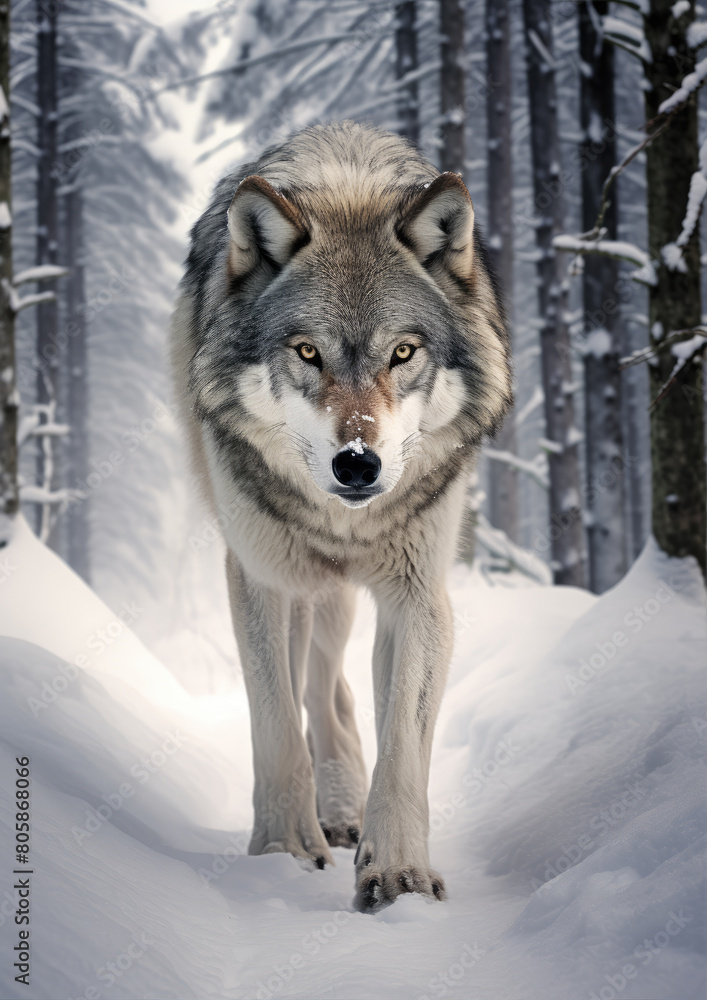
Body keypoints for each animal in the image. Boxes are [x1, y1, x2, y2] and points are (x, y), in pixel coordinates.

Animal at [171, 121, 511, 911]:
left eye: (403, 352)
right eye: (307, 352)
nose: (357, 464)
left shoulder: (419, 596)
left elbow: (404, 752)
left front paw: (399, 873)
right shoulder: (260, 579)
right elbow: (274, 728)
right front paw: (282, 852)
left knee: (336, 694)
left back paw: (345, 811)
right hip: (298, 584)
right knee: (313, 695)